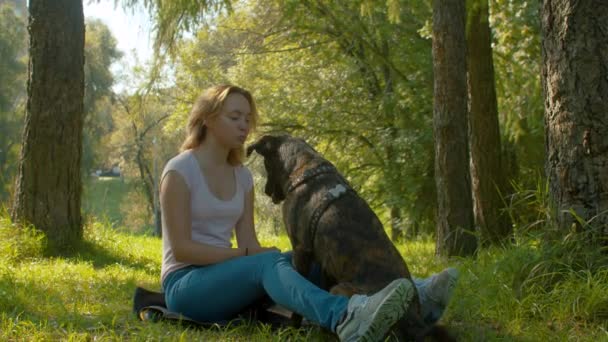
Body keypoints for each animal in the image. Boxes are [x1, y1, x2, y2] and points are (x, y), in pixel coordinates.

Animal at [246, 135, 452, 340]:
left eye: (266, 165)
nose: (265, 191)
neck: (304, 168)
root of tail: (415, 322)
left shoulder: (301, 251)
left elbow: (298, 304)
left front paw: (293, 330)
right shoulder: (326, 265)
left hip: (341, 288)